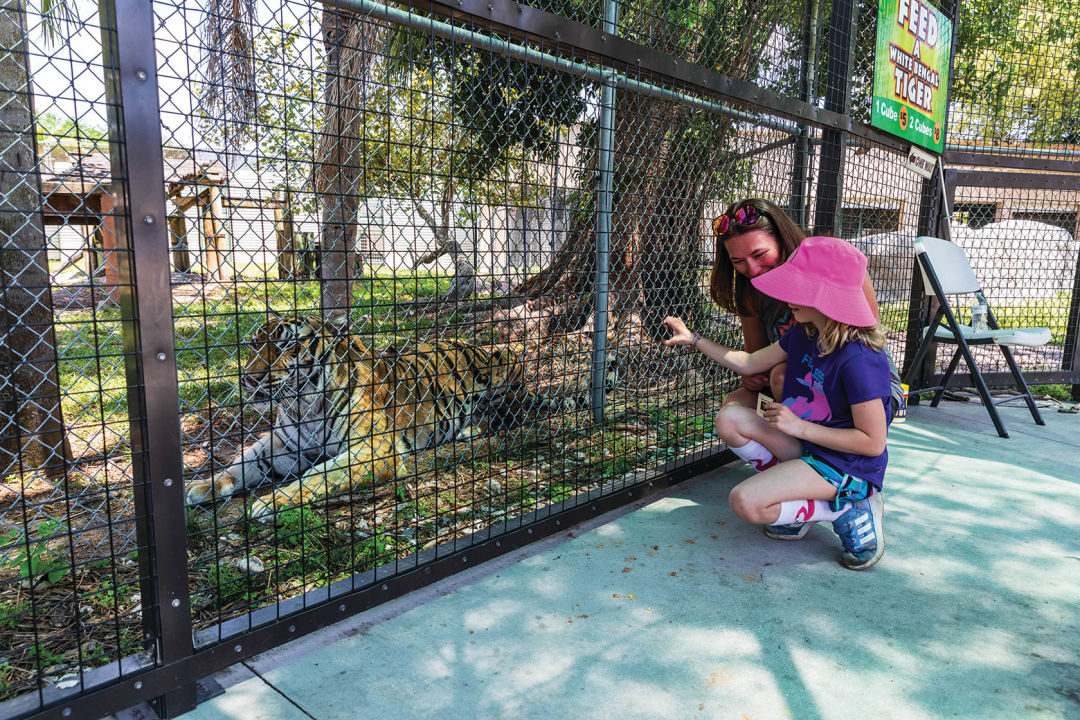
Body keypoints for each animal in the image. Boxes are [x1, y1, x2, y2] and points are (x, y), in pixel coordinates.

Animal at [183, 313, 583, 520]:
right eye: (254, 344)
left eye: (287, 345)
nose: (248, 378)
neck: (302, 406)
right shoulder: (280, 447)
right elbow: (239, 464)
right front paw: (201, 486)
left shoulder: (373, 451)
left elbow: (321, 475)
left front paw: (272, 501)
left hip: (504, 366)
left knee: (512, 411)